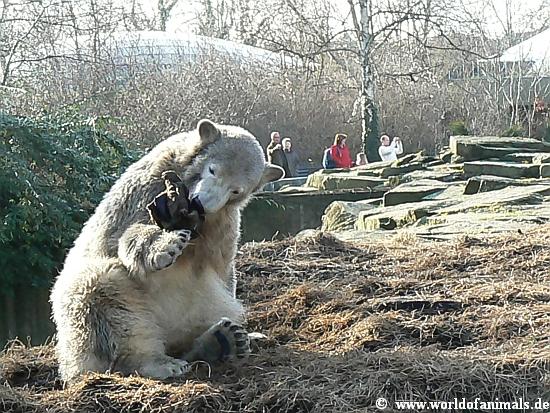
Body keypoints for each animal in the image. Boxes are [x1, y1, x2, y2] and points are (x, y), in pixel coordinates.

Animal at [50, 119, 284, 383]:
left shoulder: (224, 222)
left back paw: (225, 340)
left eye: (236, 190)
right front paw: (166, 246)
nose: (202, 202)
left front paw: (249, 333)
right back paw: (159, 362)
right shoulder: (148, 188)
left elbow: (224, 269)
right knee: (104, 293)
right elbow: (129, 234)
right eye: (212, 170)